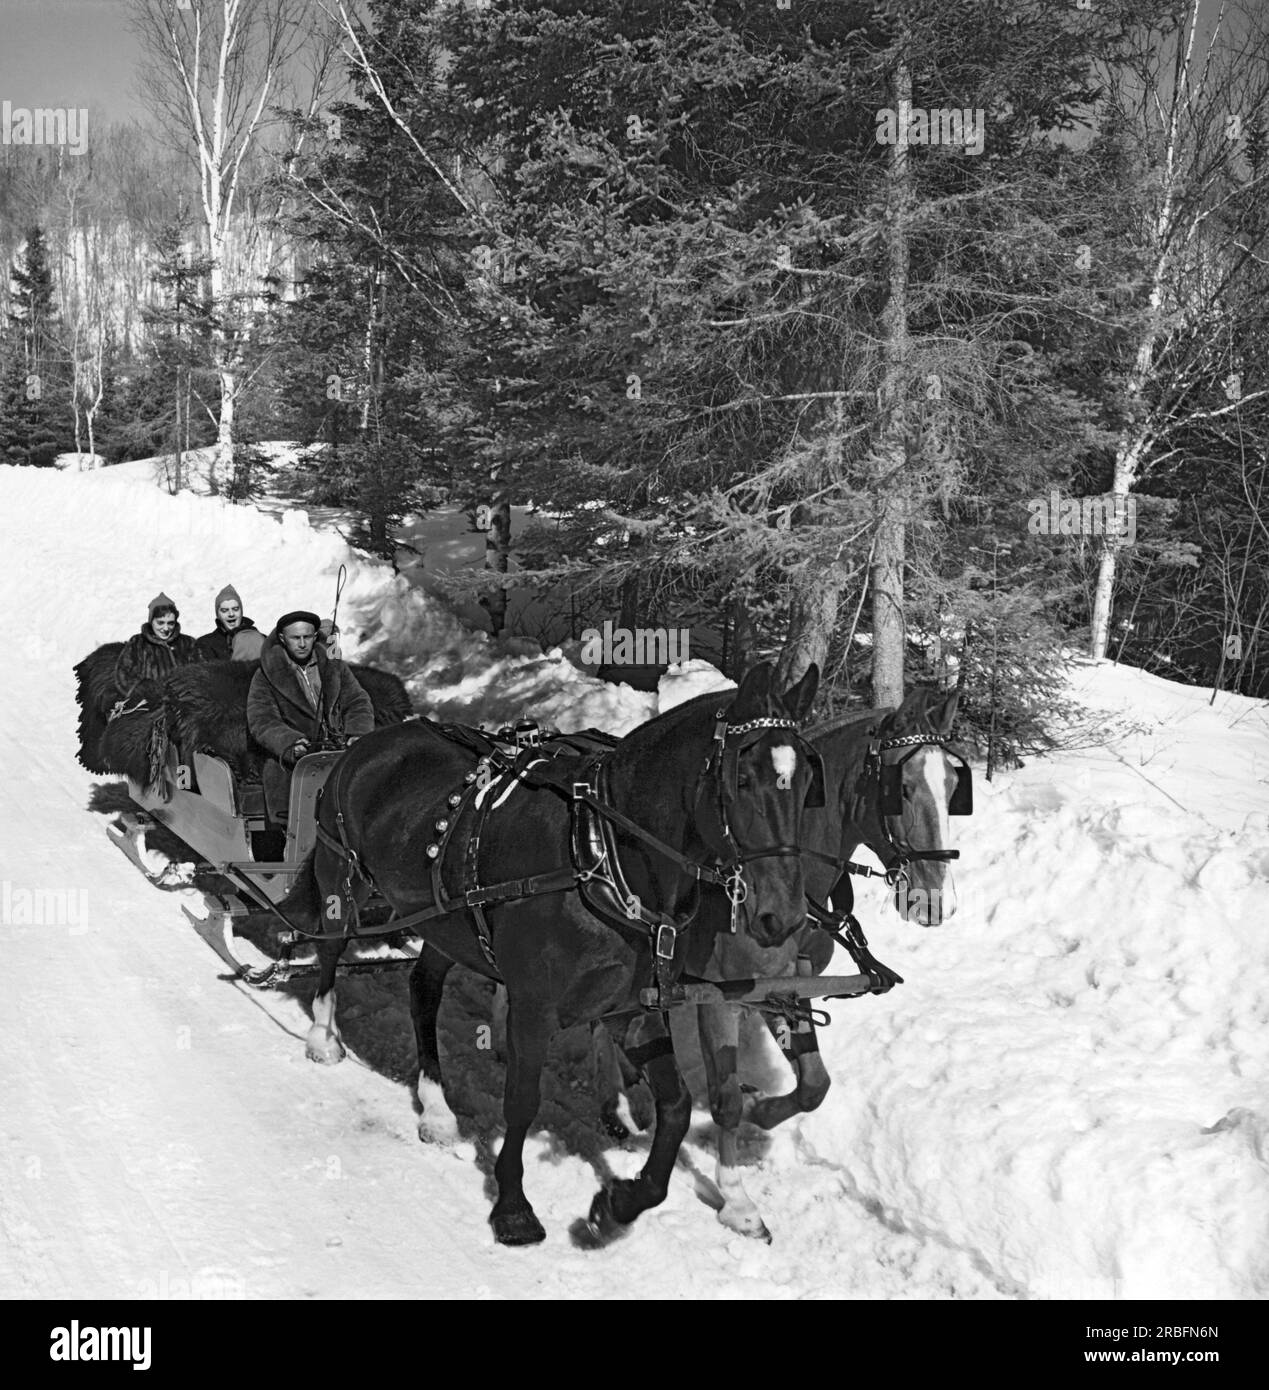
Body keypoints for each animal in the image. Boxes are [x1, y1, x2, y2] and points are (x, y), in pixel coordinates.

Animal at [279, 656, 822, 1245]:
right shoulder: (534, 1004)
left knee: (423, 988)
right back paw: (323, 1036)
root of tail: (374, 738)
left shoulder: (633, 1006)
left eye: (807, 783)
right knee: (331, 951)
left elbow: (677, 1107)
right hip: (342, 875)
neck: (603, 854)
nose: (784, 917)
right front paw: (513, 1207)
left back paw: (436, 1108)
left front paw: (620, 1203)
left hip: (447, 923)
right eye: (741, 778)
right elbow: (522, 1100)